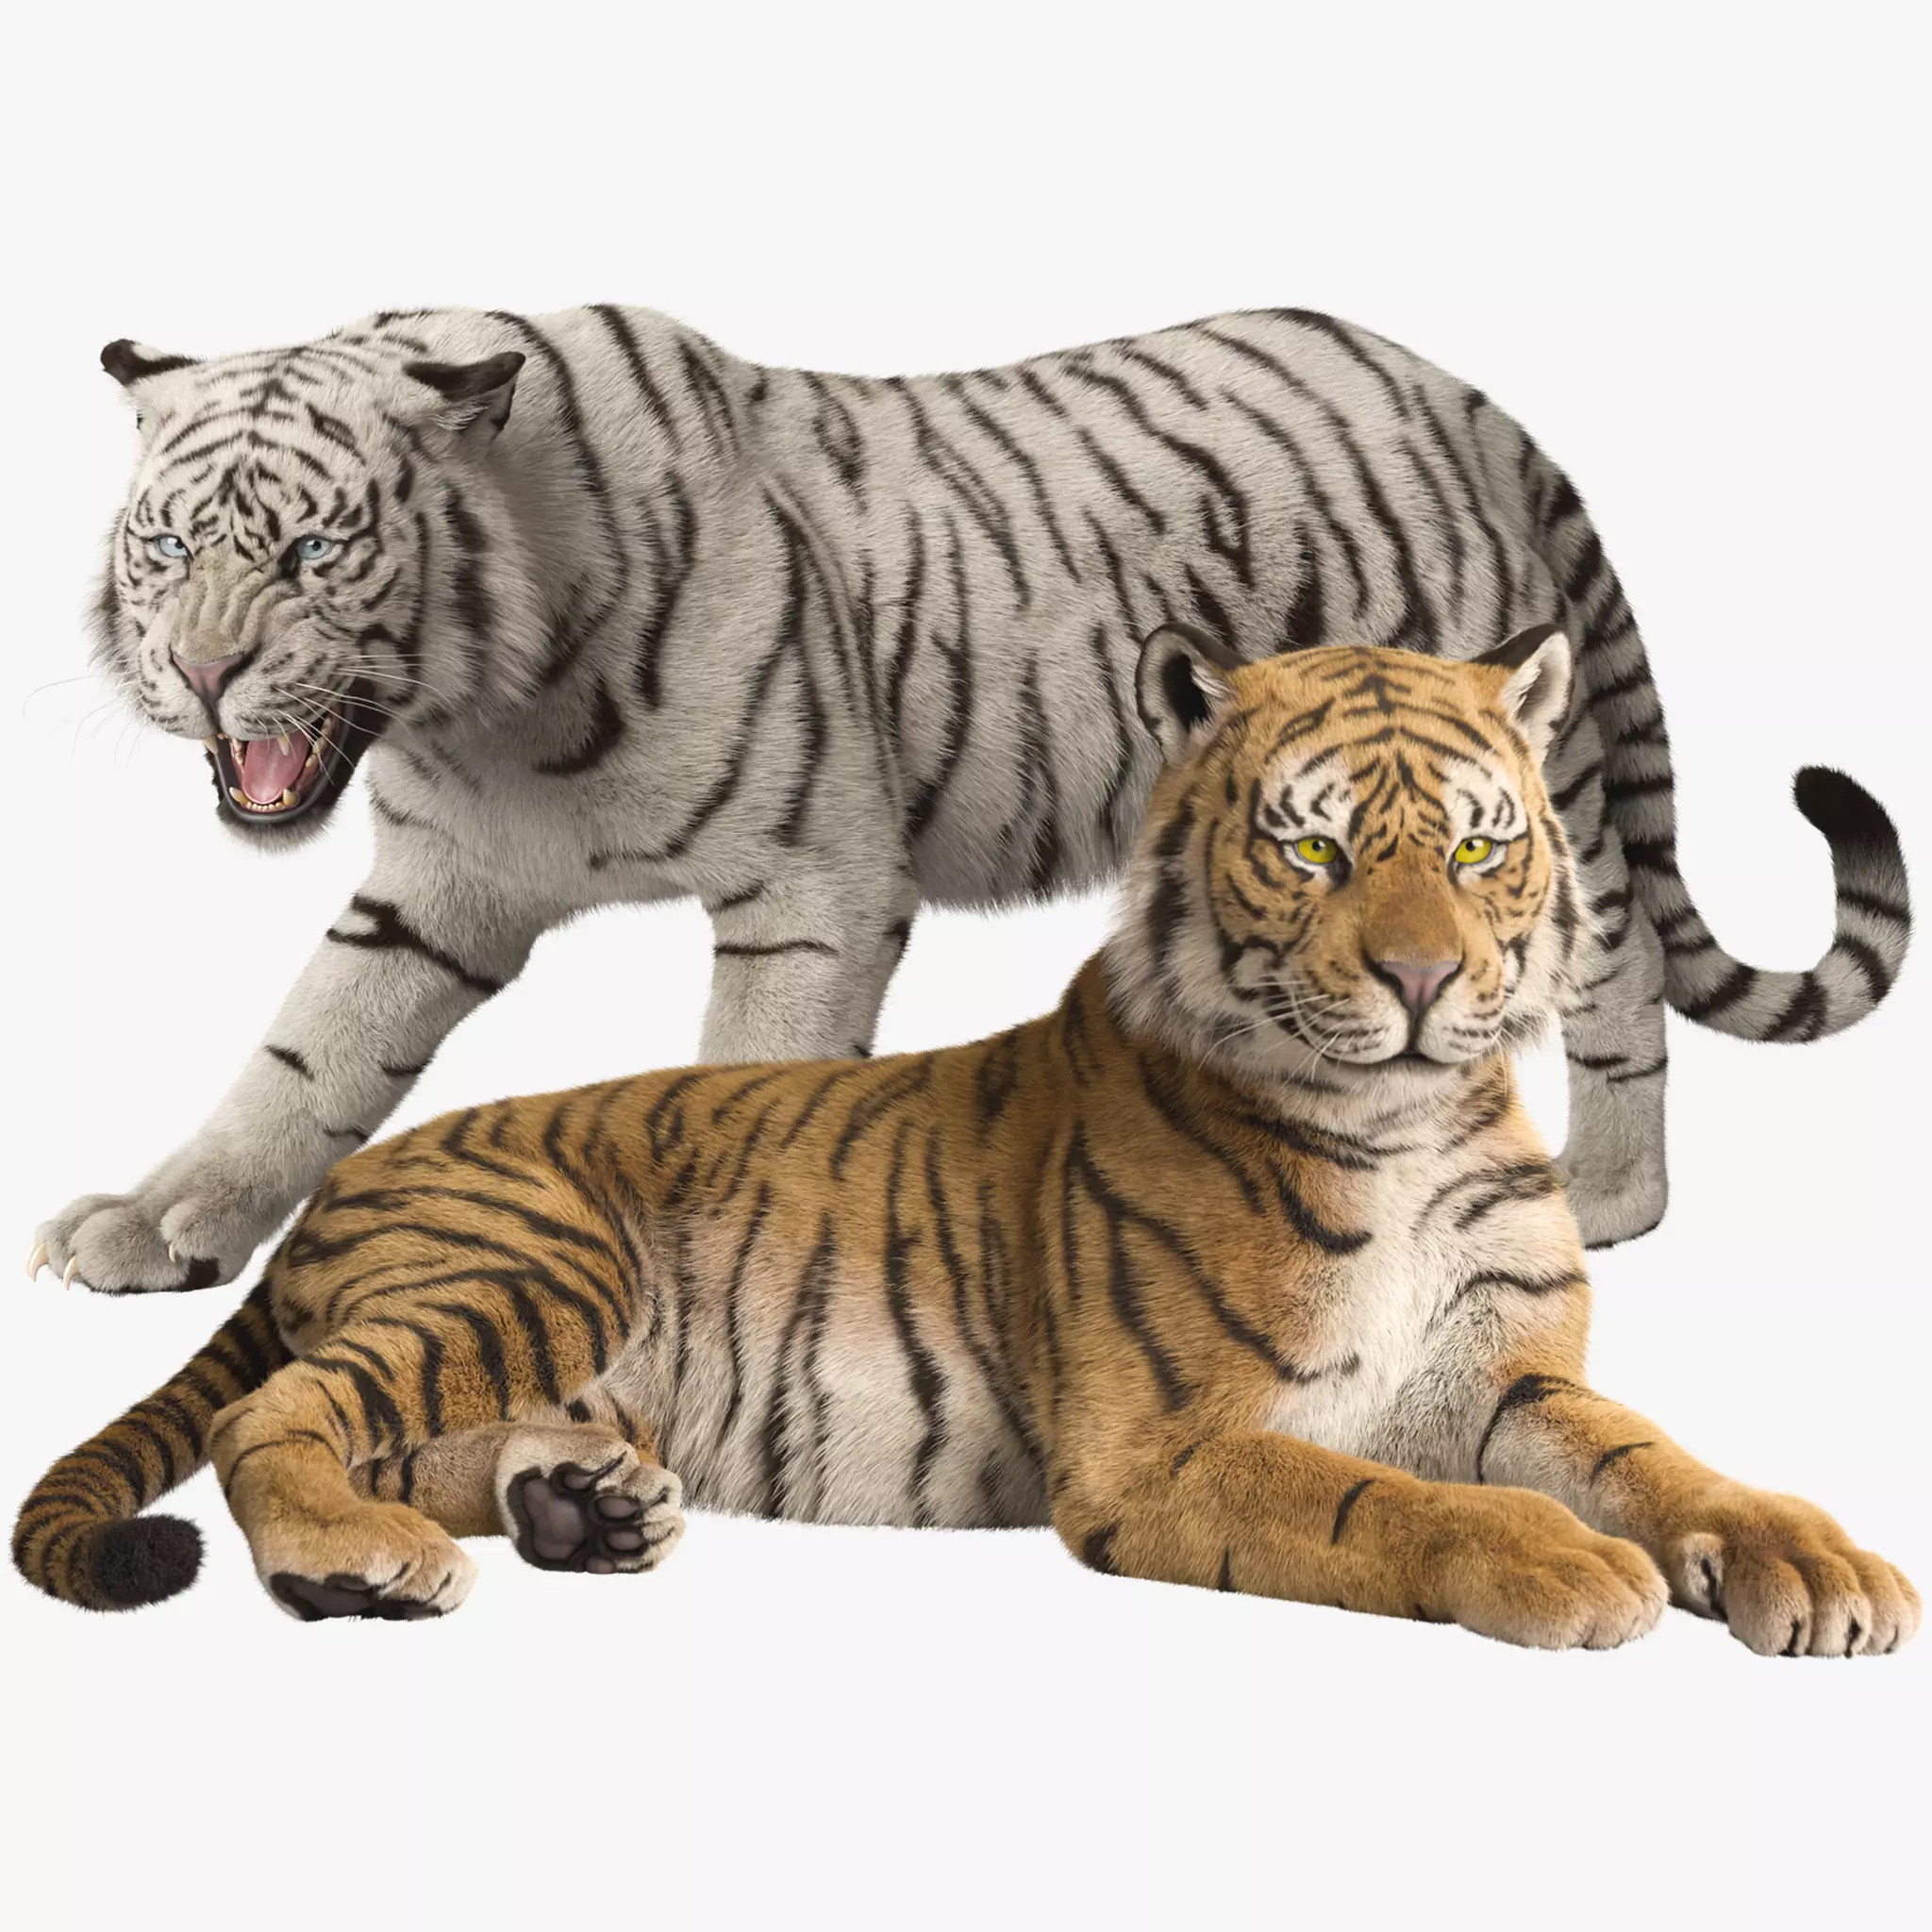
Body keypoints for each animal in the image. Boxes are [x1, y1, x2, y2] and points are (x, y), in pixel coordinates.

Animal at [15, 630, 1916, 1655]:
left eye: (1476, 844)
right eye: (1312, 851)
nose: (1428, 980)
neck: (1409, 1124)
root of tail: (337, 1183)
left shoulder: (1511, 1377)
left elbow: (1669, 1458)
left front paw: (1810, 1561)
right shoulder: (1166, 1448)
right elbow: (1381, 1498)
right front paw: (1569, 1565)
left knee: (394, 1430)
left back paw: (580, 1505)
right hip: (532, 1260)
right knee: (276, 1415)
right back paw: (365, 1562)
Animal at [25, 306, 1912, 1299]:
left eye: (311, 553)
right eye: (169, 545)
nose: (198, 671)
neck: (483, 704)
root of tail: (1457, 386)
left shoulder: (808, 882)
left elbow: (744, 1085)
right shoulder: (433, 880)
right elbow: (306, 1053)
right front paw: (157, 1219)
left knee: (1614, 960)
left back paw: (1606, 1196)